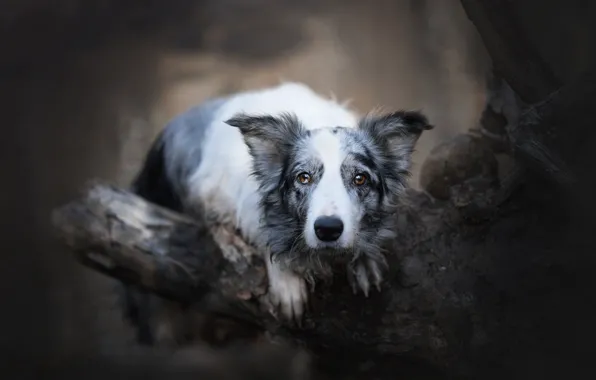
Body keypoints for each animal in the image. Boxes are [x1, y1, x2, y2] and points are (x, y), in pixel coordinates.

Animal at [121, 82, 430, 344]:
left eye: (360, 179)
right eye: (303, 177)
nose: (328, 229)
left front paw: (365, 260)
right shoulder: (217, 188)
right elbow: (262, 235)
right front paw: (287, 282)